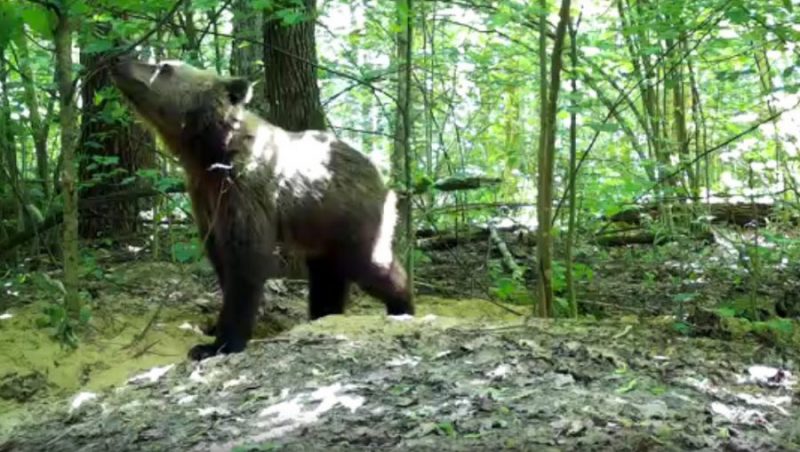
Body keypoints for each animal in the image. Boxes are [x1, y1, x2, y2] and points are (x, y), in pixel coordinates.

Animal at [109, 58, 416, 360]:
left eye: (165, 67)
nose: (119, 60)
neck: (210, 155)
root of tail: (380, 177)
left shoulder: (245, 193)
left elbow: (246, 262)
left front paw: (218, 344)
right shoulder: (207, 199)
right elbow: (222, 259)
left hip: (350, 221)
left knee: (373, 265)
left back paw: (402, 307)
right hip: (320, 233)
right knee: (326, 279)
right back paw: (322, 316)